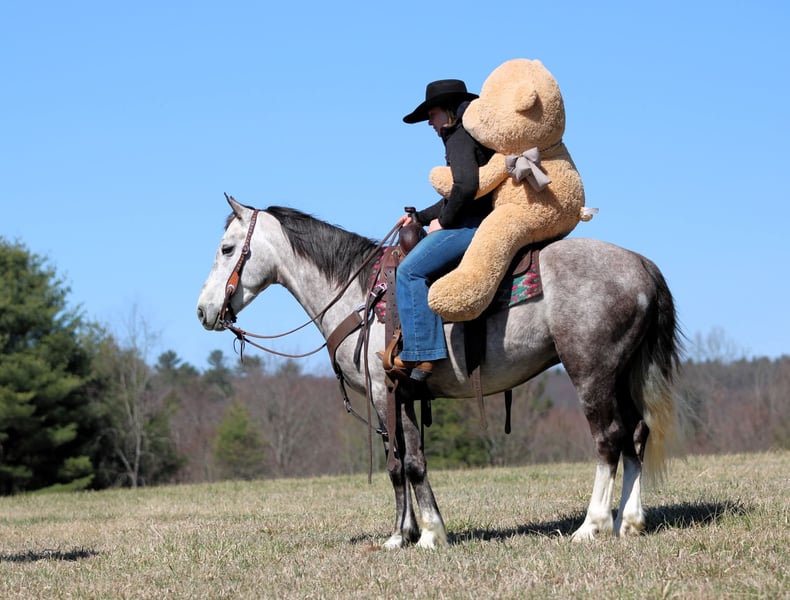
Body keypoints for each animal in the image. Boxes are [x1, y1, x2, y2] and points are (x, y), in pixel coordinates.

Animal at [196, 195, 686, 549]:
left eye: (226, 249)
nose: (203, 311)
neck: (361, 294)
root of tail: (642, 266)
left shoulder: (387, 392)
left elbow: (410, 463)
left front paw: (429, 534)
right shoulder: (398, 399)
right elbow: (398, 462)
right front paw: (402, 534)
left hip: (591, 373)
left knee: (609, 439)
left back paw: (593, 525)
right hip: (623, 373)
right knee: (636, 434)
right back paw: (629, 522)